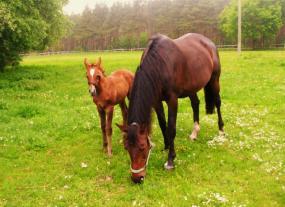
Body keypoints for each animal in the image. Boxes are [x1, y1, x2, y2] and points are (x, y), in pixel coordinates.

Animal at [116, 33, 223, 184]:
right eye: (127, 148)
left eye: (142, 147)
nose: (137, 178)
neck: (160, 63)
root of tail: (208, 42)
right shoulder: (156, 101)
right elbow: (163, 124)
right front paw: (166, 147)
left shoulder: (172, 100)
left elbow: (171, 128)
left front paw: (170, 160)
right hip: (192, 87)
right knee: (195, 104)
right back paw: (194, 133)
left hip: (215, 80)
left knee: (218, 103)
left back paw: (221, 131)